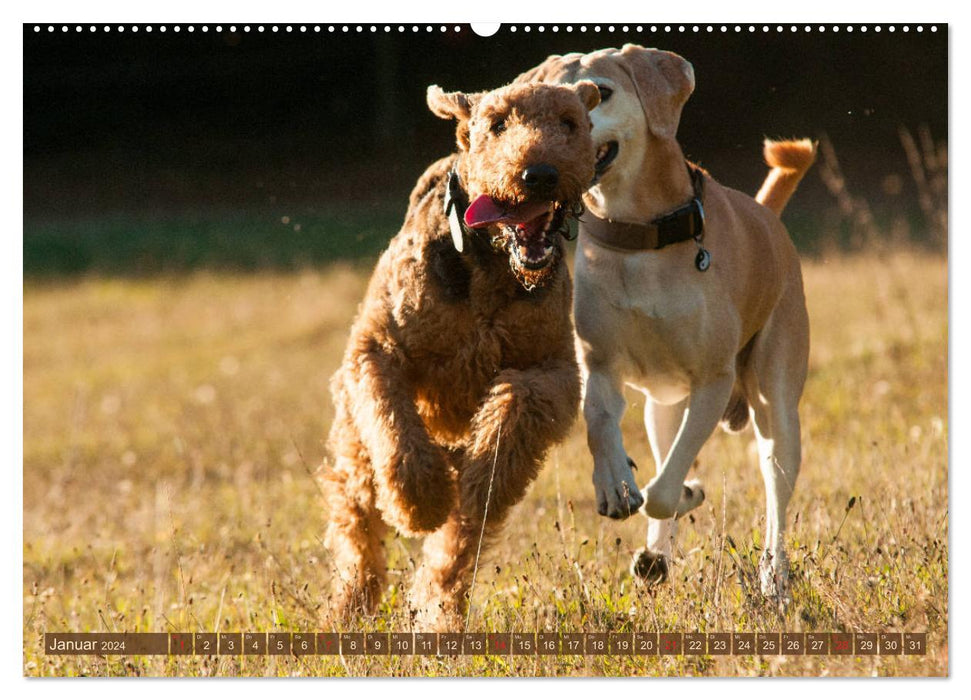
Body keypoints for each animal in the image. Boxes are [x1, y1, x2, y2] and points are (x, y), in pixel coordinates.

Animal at [324, 80, 600, 628]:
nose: (539, 174)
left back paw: (439, 607)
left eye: (569, 122)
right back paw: (350, 605)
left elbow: (508, 421)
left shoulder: (551, 370)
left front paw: (484, 466)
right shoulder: (378, 349)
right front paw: (419, 503)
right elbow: (396, 429)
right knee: (357, 519)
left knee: (460, 536)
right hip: (353, 442)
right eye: (497, 125)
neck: (488, 261)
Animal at [520, 46, 816, 600]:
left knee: (775, 493)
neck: (639, 235)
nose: (540, 166)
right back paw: (656, 554)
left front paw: (682, 492)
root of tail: (767, 218)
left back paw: (774, 577)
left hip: (777, 405)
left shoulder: (712, 381)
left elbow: (664, 487)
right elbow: (600, 423)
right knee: (665, 449)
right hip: (662, 407)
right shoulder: (600, 363)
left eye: (599, 93)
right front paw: (614, 484)